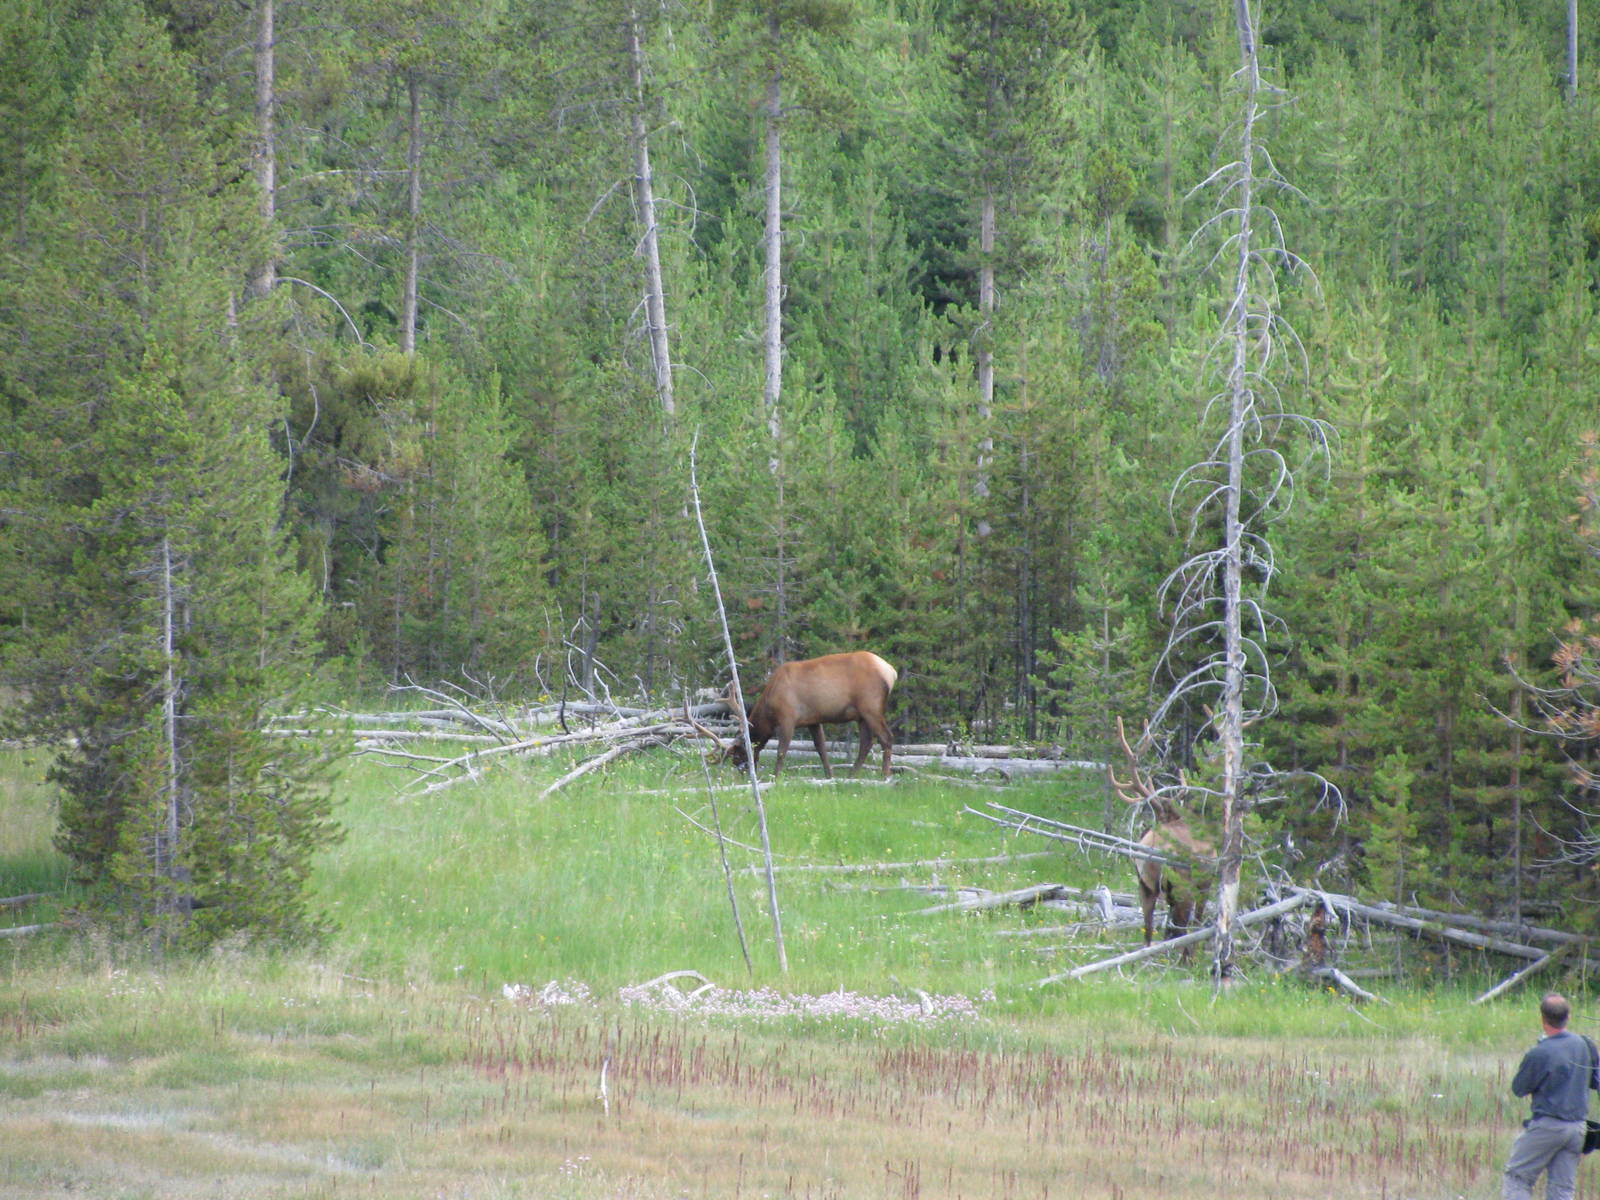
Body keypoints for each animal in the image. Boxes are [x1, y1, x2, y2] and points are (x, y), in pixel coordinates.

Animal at [701, 651, 898, 780]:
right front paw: (829, 776)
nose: (744, 775)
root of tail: (891, 671)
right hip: (861, 715)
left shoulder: (788, 717)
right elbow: (821, 749)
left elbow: (782, 750)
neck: (769, 705)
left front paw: (776, 777)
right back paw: (851, 776)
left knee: (886, 737)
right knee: (866, 743)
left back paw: (884, 776)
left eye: (738, 756)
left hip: (871, 707)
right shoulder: (813, 720)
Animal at [1107, 717, 1215, 955]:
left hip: (1145, 885)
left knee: (1148, 932)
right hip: (1182, 886)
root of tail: (1157, 849)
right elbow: (1197, 923)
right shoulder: (1206, 883)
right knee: (1182, 930)